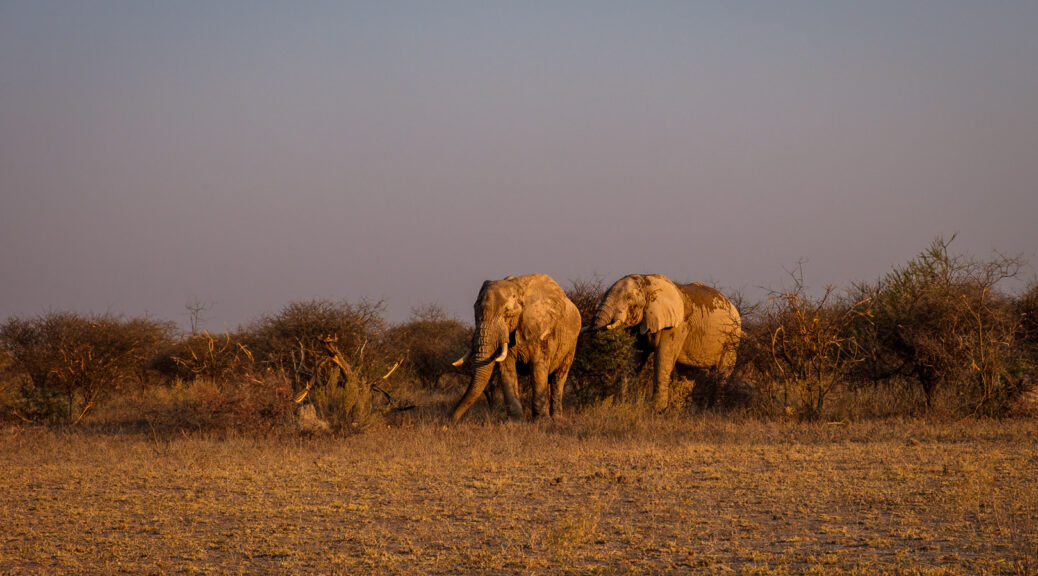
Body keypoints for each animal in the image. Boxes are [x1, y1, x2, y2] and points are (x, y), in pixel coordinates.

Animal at [450, 273, 585, 423]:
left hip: (572, 343)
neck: (518, 288)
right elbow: (506, 368)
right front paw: (515, 423)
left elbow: (538, 367)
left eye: (507, 313)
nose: (449, 421)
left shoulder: (542, 331)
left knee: (558, 377)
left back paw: (556, 419)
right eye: (475, 312)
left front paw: (541, 422)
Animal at [589, 273, 743, 413]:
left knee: (722, 372)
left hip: (731, 339)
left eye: (628, 298)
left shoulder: (677, 327)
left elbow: (662, 359)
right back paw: (679, 410)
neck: (648, 281)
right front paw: (620, 406)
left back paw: (714, 410)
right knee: (686, 374)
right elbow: (634, 359)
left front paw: (656, 410)